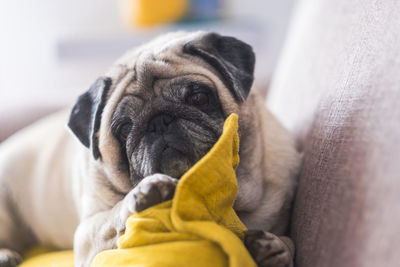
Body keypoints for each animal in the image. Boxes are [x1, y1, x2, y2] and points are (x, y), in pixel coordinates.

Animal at [0, 31, 300, 267]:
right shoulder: (86, 235)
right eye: (124, 129)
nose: (159, 121)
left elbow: (290, 242)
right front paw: (147, 193)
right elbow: (115, 214)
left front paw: (276, 249)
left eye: (199, 97)